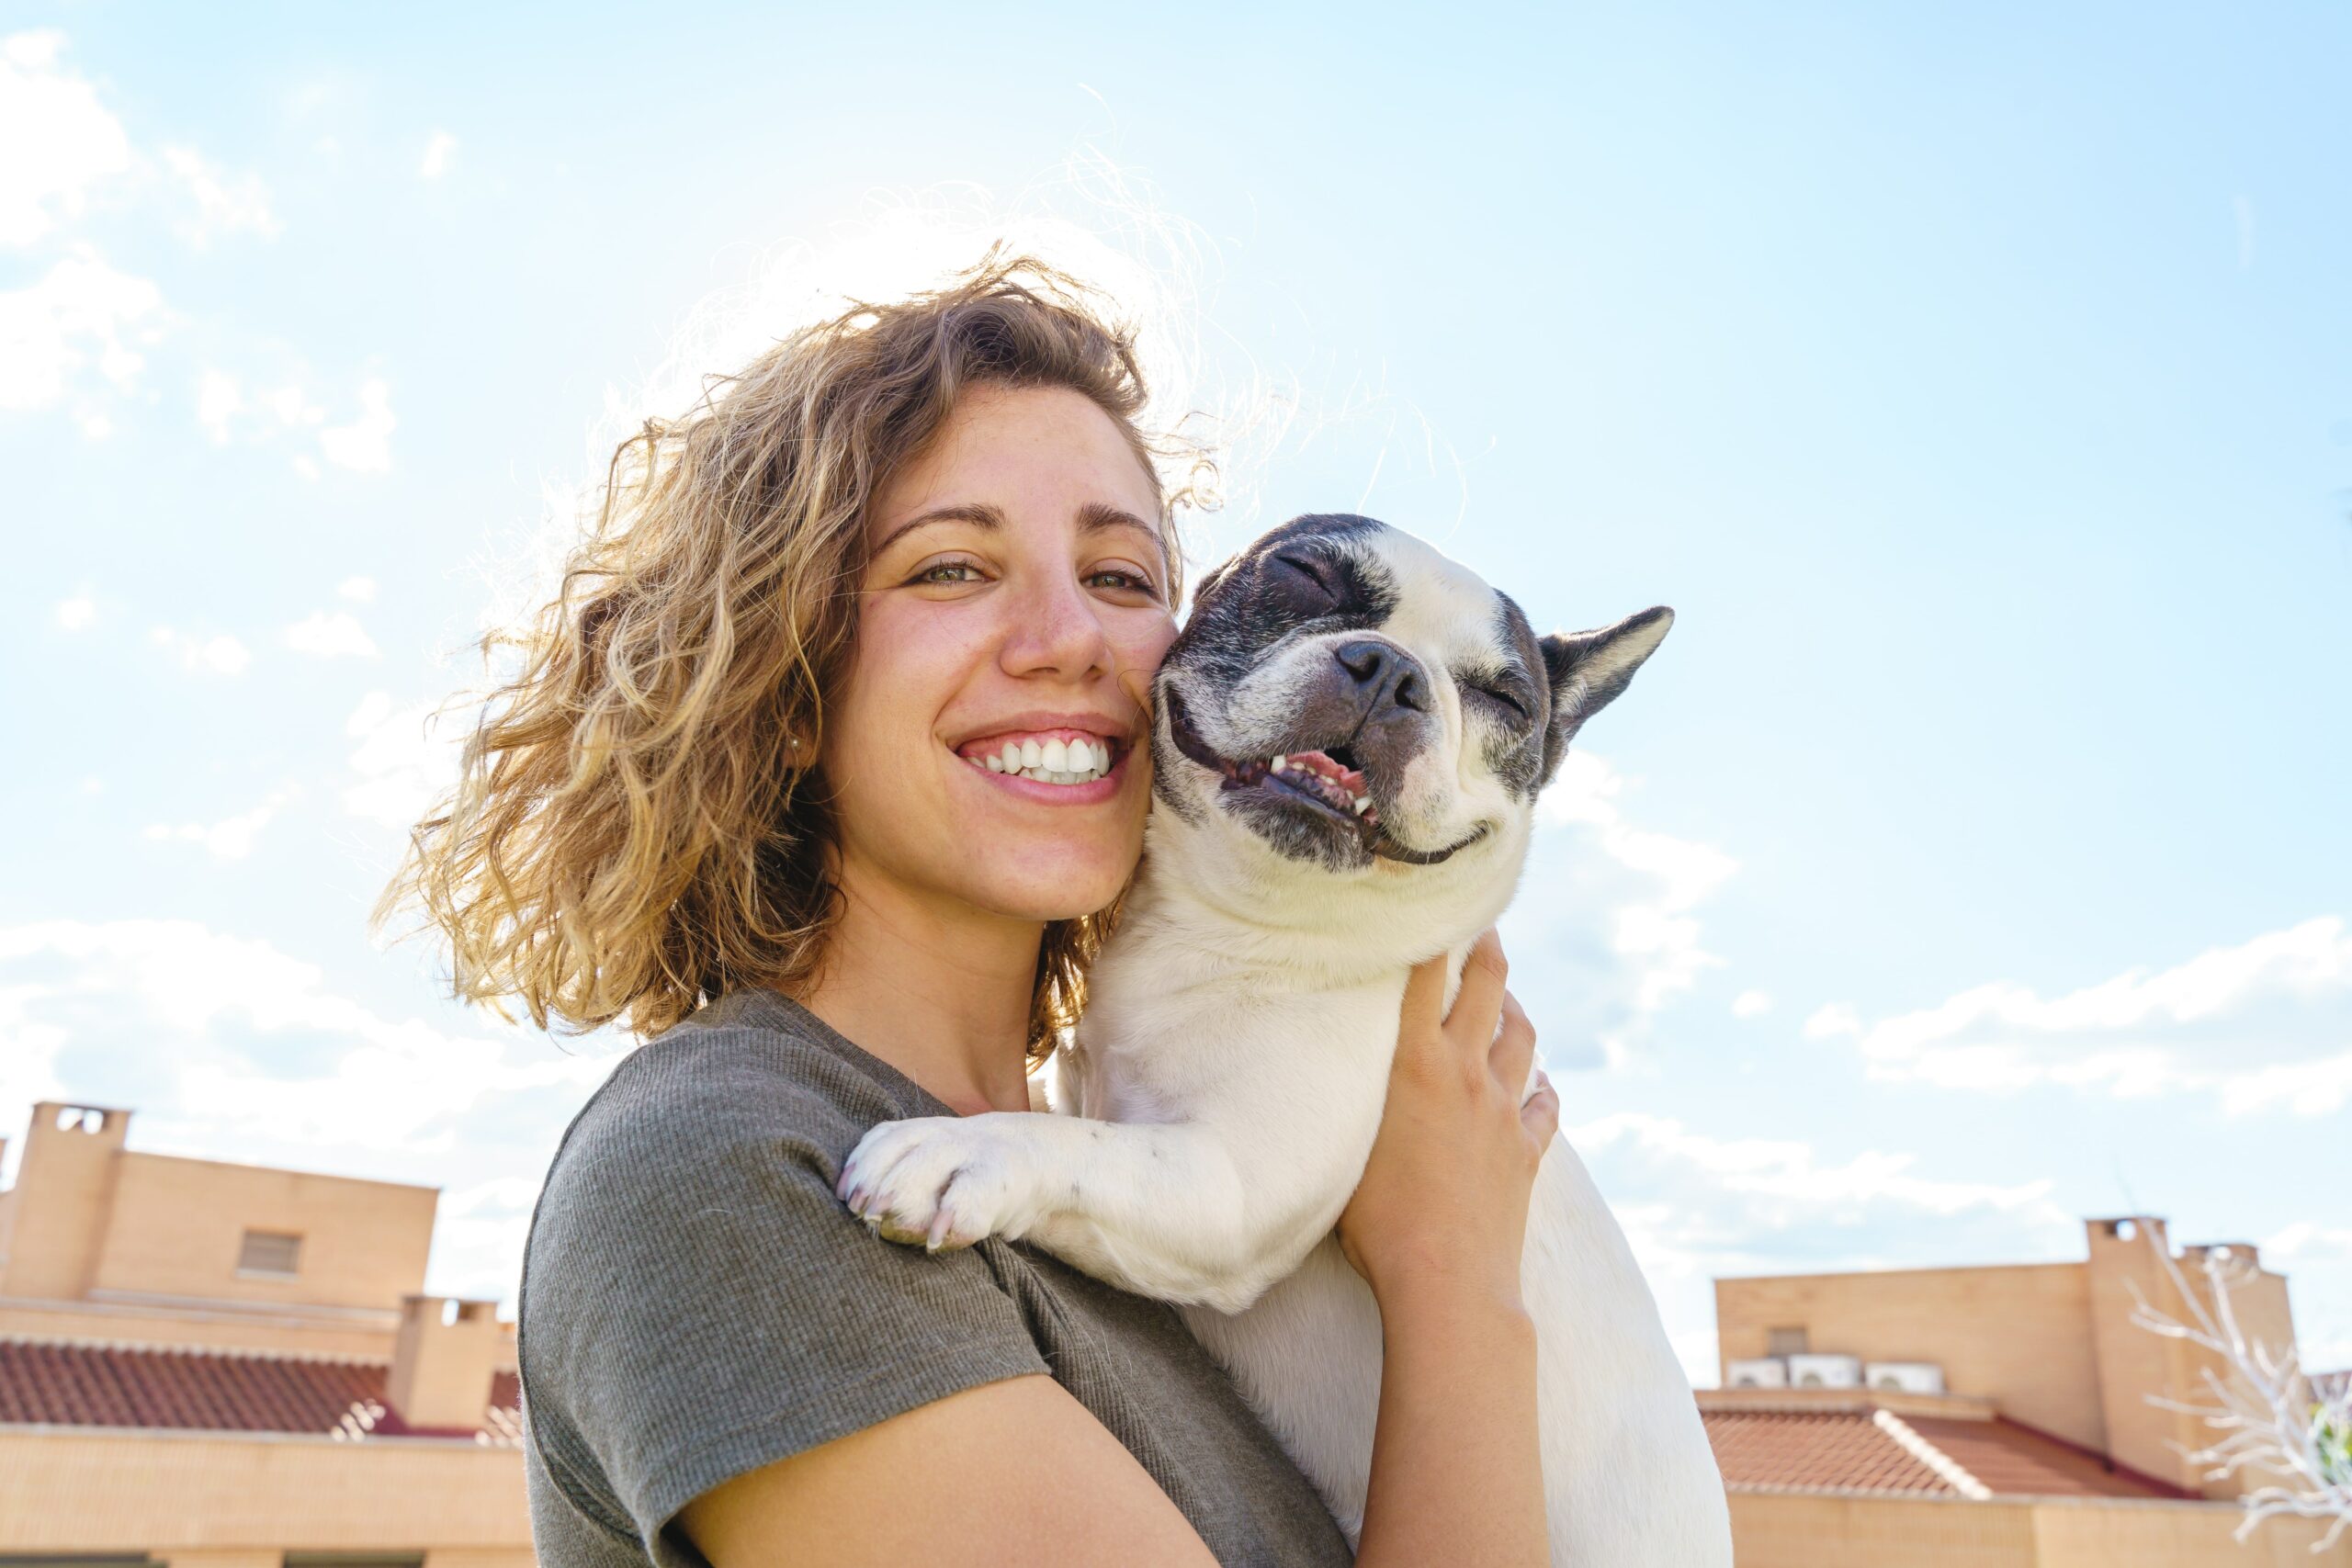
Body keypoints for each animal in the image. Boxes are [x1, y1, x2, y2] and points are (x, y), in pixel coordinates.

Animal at [842, 517, 1731, 1568]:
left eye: (1506, 699)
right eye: (1305, 577)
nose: (1391, 671)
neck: (1236, 923)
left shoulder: (1234, 1184)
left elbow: (1079, 1147)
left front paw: (959, 1147)